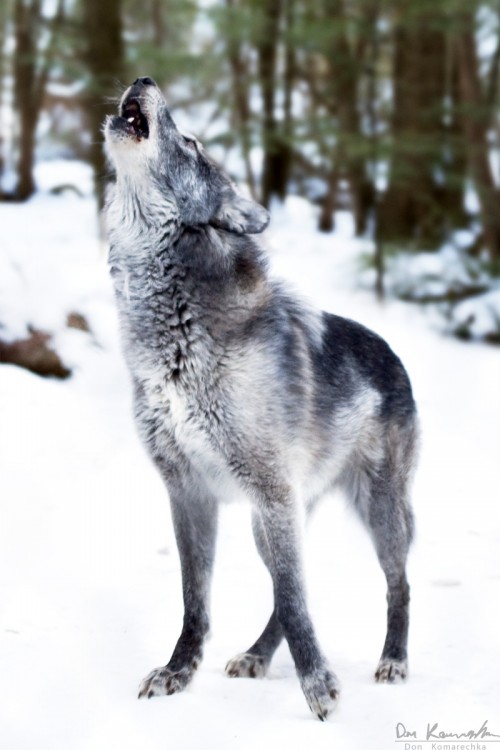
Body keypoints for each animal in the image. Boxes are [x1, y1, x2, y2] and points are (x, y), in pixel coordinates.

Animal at [103, 76, 418, 721]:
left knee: (397, 585)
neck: (175, 341)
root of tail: (392, 354)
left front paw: (318, 687)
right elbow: (196, 601)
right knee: (283, 588)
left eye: (192, 143)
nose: (144, 80)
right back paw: (256, 655)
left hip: (373, 512)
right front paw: (178, 672)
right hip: (269, 520)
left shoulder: (269, 491)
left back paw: (393, 660)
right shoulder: (188, 491)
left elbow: (297, 602)